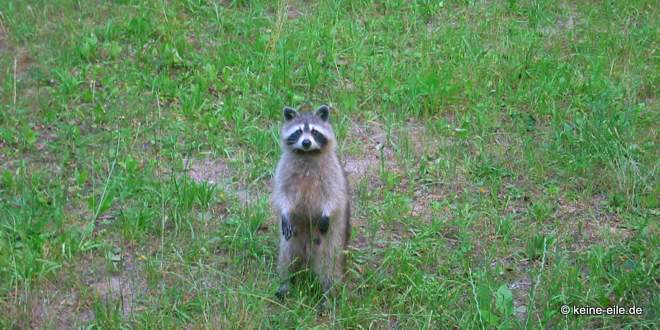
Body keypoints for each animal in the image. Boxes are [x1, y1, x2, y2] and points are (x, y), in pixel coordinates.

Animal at [270, 104, 350, 306]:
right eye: (298, 132)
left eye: (314, 132)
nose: (306, 142)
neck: (307, 154)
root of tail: (308, 258)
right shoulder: (283, 169)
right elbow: (282, 195)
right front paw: (284, 212)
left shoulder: (333, 172)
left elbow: (333, 196)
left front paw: (327, 212)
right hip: (292, 239)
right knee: (287, 256)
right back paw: (286, 282)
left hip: (333, 238)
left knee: (329, 265)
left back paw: (328, 294)